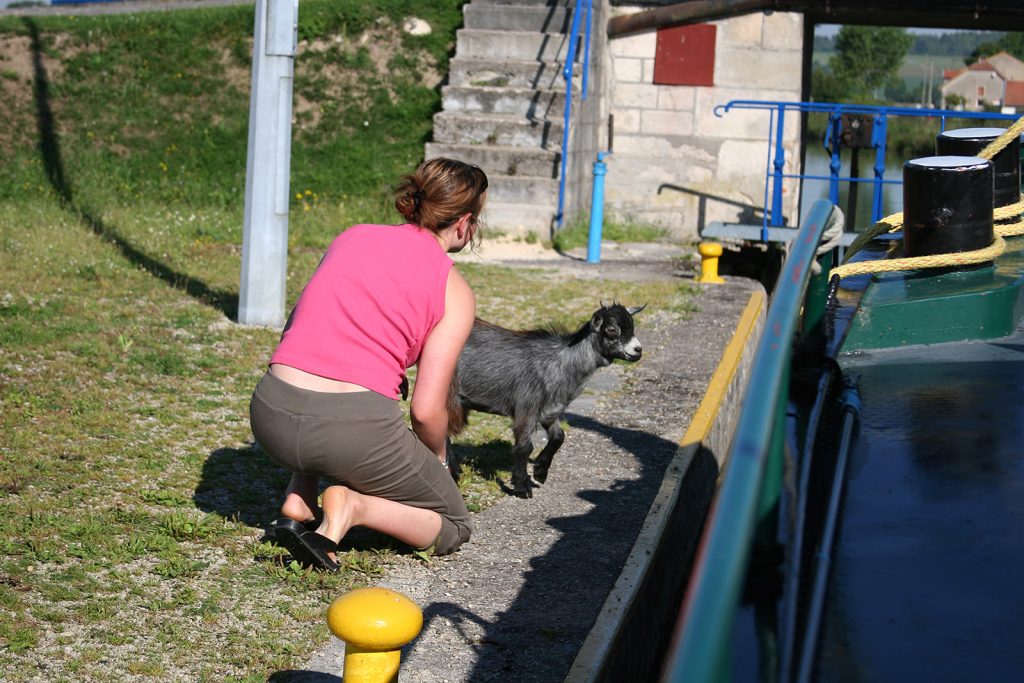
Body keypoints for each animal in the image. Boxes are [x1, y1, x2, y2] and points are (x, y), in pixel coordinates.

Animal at [446, 303, 643, 497]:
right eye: (612, 329)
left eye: (632, 326)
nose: (638, 350)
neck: (559, 362)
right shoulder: (527, 406)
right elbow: (524, 447)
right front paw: (522, 487)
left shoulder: (550, 409)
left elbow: (558, 437)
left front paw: (540, 471)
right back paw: (454, 473)